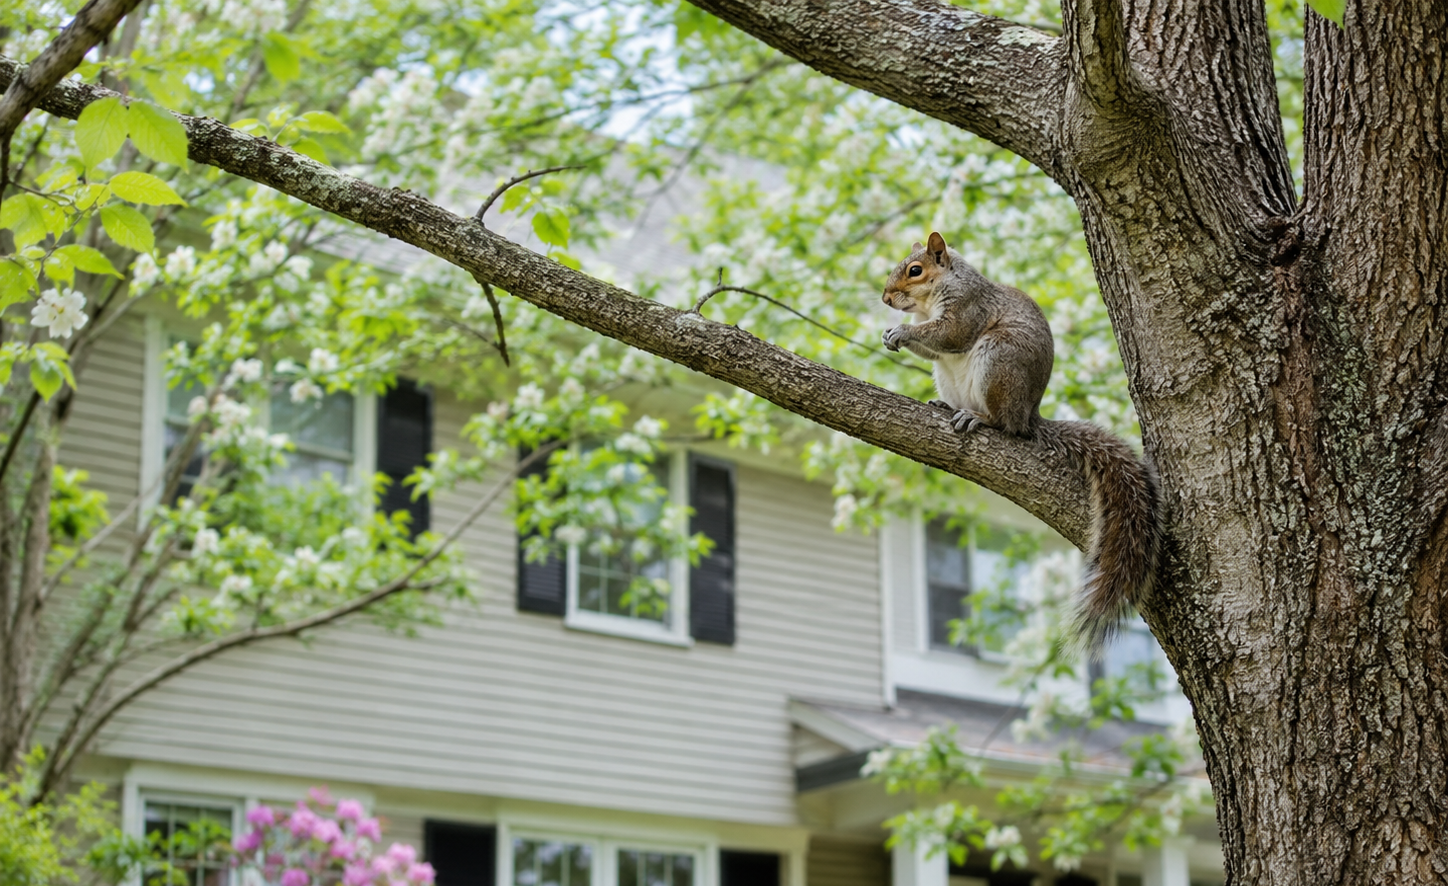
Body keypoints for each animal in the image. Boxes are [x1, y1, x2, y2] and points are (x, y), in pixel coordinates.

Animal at [881, 232, 1160, 657]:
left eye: (915, 270)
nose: (885, 298)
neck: (930, 299)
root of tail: (1030, 414)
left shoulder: (969, 307)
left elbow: (949, 335)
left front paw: (900, 332)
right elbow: (934, 347)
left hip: (999, 359)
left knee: (1005, 424)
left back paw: (981, 419)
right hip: (950, 376)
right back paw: (948, 406)